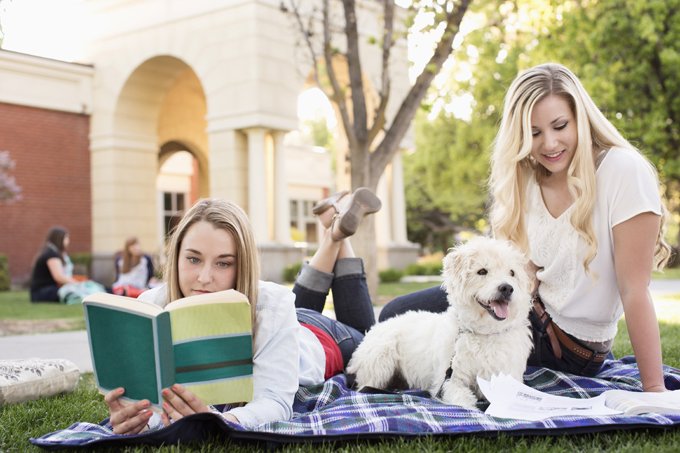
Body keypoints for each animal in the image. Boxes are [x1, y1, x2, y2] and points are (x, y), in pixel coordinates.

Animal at [348, 237, 532, 406]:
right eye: (482, 271)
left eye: (512, 273)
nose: (507, 288)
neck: (485, 333)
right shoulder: (450, 381)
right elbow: (463, 401)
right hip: (381, 358)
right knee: (364, 386)